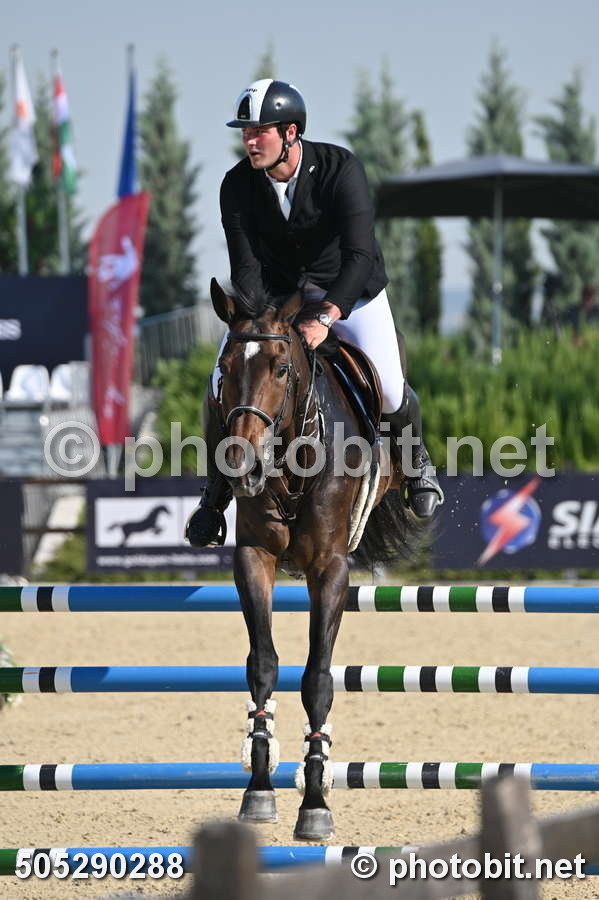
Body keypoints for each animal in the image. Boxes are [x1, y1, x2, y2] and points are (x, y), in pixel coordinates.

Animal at [207, 278, 421, 840]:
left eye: (282, 368)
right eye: (227, 368)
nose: (241, 466)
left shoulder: (329, 569)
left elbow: (318, 680)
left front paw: (316, 804)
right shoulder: (254, 558)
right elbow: (263, 664)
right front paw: (259, 790)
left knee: (404, 400)